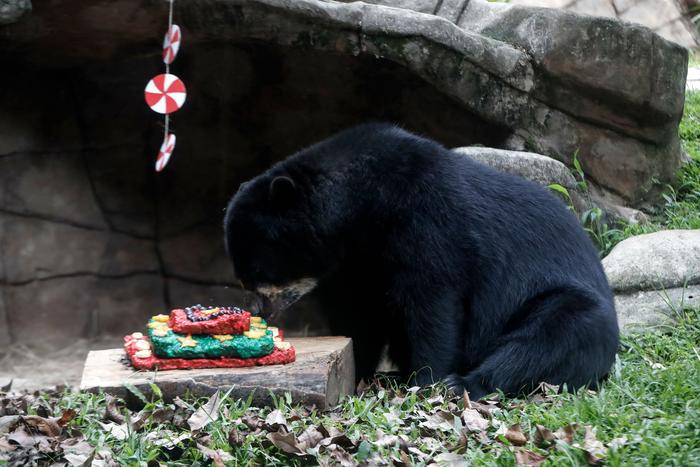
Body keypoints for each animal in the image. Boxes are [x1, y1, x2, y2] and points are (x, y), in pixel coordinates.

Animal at [223, 123, 616, 398]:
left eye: (258, 273)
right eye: (244, 278)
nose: (259, 311)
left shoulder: (427, 221)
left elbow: (433, 303)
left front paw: (426, 379)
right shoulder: (353, 264)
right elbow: (359, 315)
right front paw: (358, 369)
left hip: (560, 301)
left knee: (550, 338)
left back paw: (464, 384)